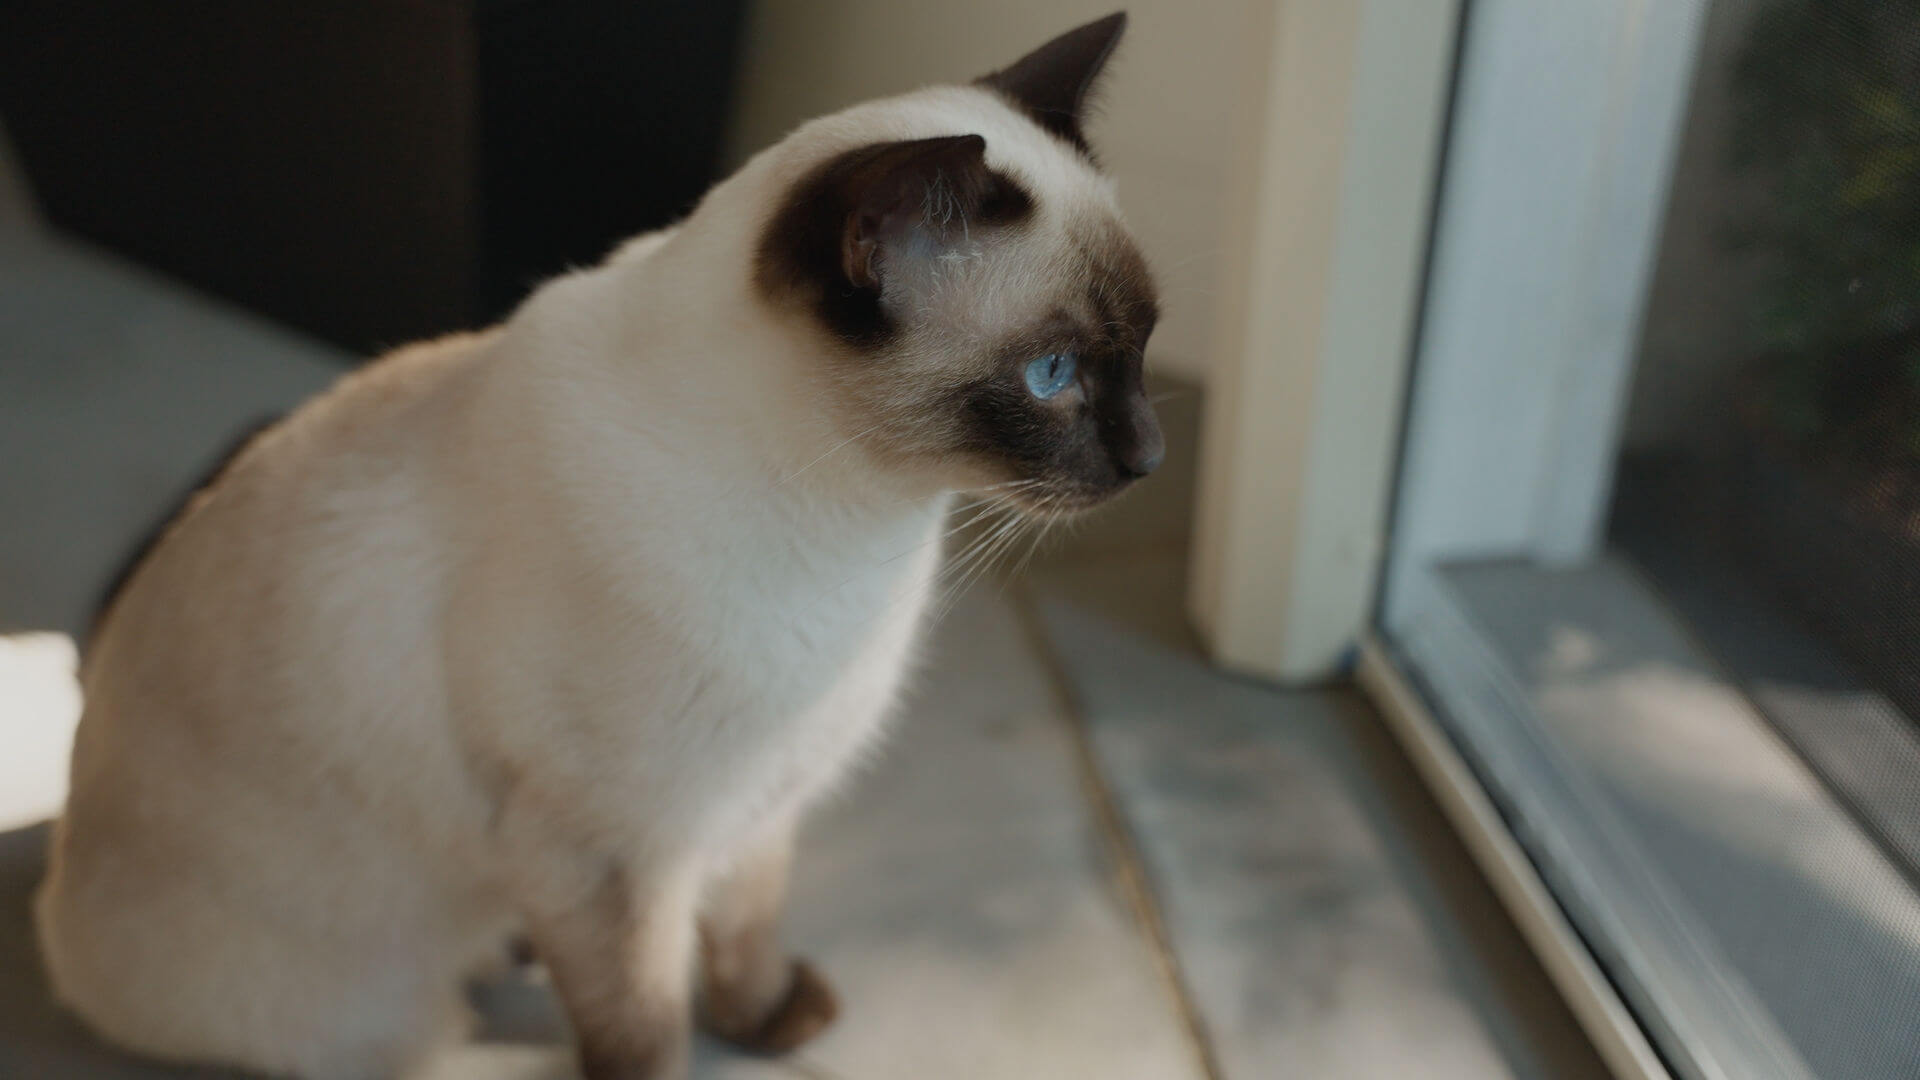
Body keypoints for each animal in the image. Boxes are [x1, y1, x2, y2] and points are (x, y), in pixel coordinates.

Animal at [37, 10, 1159, 1076]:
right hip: (388, 1008)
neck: (860, 533)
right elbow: (645, 1028)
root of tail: (51, 892)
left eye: (1146, 343)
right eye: (1052, 375)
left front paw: (767, 1022)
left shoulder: (762, 799)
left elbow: (745, 935)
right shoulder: (609, 853)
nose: (1149, 457)